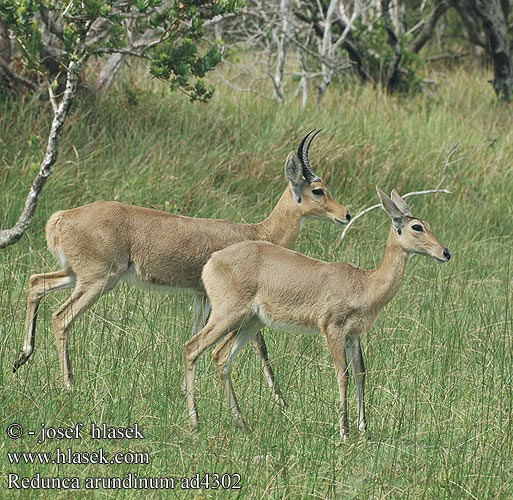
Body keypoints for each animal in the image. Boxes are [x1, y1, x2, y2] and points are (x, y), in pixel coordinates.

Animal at [12, 130, 350, 394]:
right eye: (318, 190)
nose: (345, 214)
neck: (258, 233)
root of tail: (61, 217)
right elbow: (260, 346)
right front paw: (279, 398)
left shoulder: (201, 297)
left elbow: (194, 336)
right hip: (98, 280)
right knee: (61, 317)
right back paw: (69, 384)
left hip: (75, 274)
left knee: (37, 282)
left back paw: (22, 357)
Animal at [186, 187, 450, 438]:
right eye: (417, 227)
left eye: (427, 224)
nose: (445, 253)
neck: (365, 283)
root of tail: (212, 260)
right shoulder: (333, 329)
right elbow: (342, 375)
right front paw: (344, 431)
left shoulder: (354, 335)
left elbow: (360, 373)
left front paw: (364, 429)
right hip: (227, 315)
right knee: (192, 348)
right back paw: (195, 424)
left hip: (251, 322)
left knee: (221, 356)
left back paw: (241, 423)